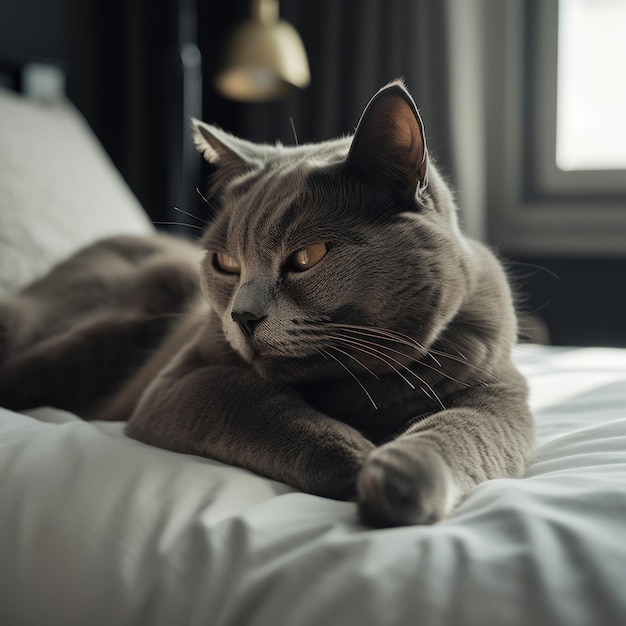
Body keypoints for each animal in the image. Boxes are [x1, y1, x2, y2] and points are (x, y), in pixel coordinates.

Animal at [0, 80, 532, 524]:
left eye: (307, 257)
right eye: (226, 263)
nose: (242, 315)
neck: (355, 385)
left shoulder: (498, 390)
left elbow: (462, 430)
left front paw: (400, 479)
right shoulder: (177, 385)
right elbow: (253, 401)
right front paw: (358, 461)